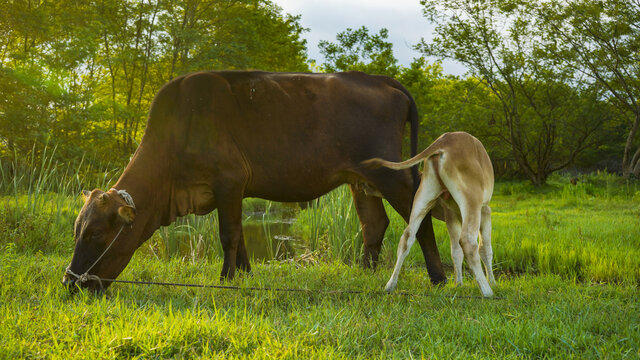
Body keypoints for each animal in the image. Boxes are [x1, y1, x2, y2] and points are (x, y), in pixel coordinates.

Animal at [62, 71, 448, 292]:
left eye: (96, 234)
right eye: (76, 229)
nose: (70, 283)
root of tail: (379, 79)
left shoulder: (228, 180)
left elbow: (228, 233)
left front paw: (226, 280)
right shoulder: (232, 191)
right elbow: (240, 236)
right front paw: (244, 275)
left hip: (391, 173)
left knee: (419, 217)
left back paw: (439, 278)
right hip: (361, 178)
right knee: (374, 223)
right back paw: (365, 274)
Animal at [364, 131, 496, 296]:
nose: (365, 186)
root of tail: (444, 141)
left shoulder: (450, 214)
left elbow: (455, 251)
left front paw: (458, 284)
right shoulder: (485, 210)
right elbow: (485, 249)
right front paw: (493, 283)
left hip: (424, 193)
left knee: (407, 236)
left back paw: (390, 285)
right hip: (472, 200)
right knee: (468, 241)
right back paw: (487, 291)